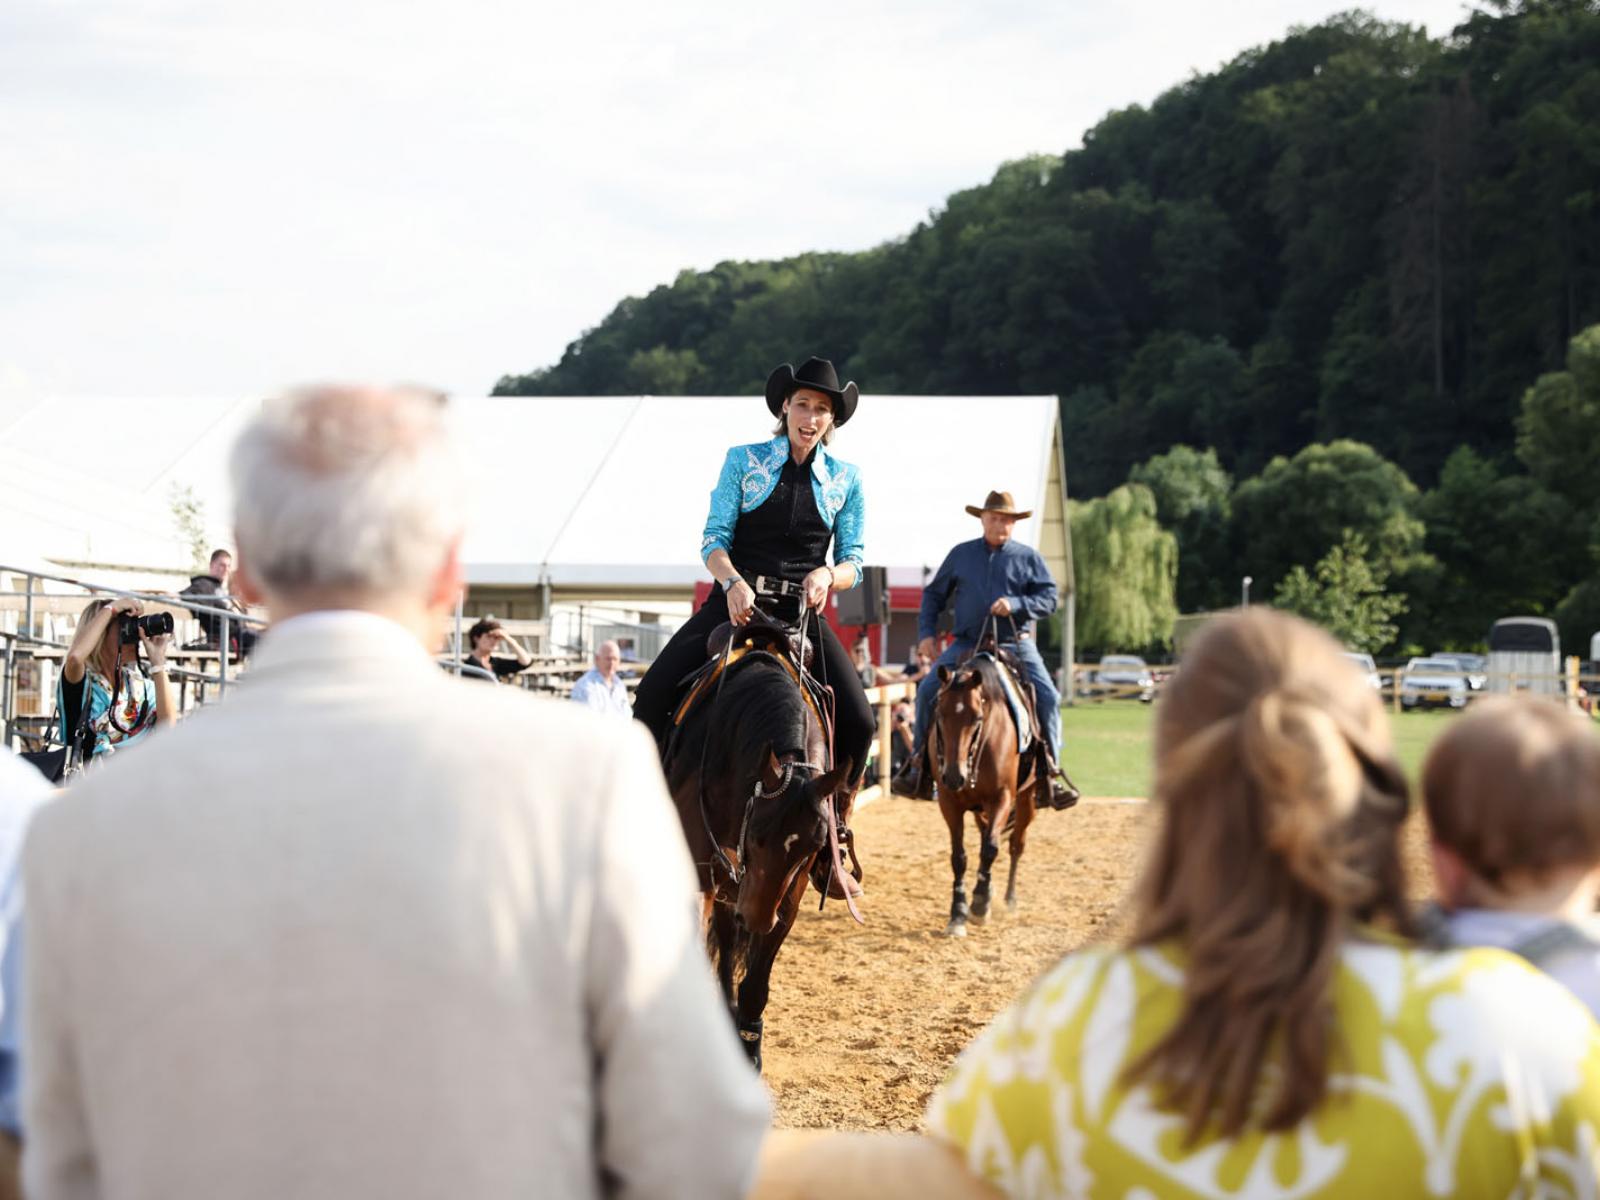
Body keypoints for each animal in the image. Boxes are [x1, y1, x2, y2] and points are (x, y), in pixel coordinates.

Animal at [928, 659, 1036, 940]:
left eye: (977, 718)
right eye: (939, 713)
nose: (954, 775)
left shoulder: (1003, 797)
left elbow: (990, 848)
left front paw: (979, 905)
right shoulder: (949, 802)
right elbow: (959, 857)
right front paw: (958, 913)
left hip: (1026, 800)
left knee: (1015, 845)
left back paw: (1009, 899)